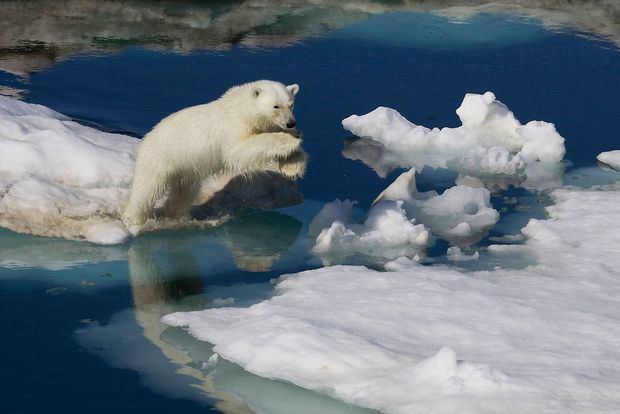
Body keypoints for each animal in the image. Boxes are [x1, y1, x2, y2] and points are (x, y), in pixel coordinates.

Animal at [122, 78, 306, 226]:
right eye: (276, 106)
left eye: (291, 104)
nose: (291, 122)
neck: (242, 108)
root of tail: (146, 138)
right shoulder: (233, 127)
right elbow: (240, 151)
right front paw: (290, 140)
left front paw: (292, 166)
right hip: (159, 157)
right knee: (146, 190)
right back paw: (133, 219)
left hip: (186, 168)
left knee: (184, 191)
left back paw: (174, 215)